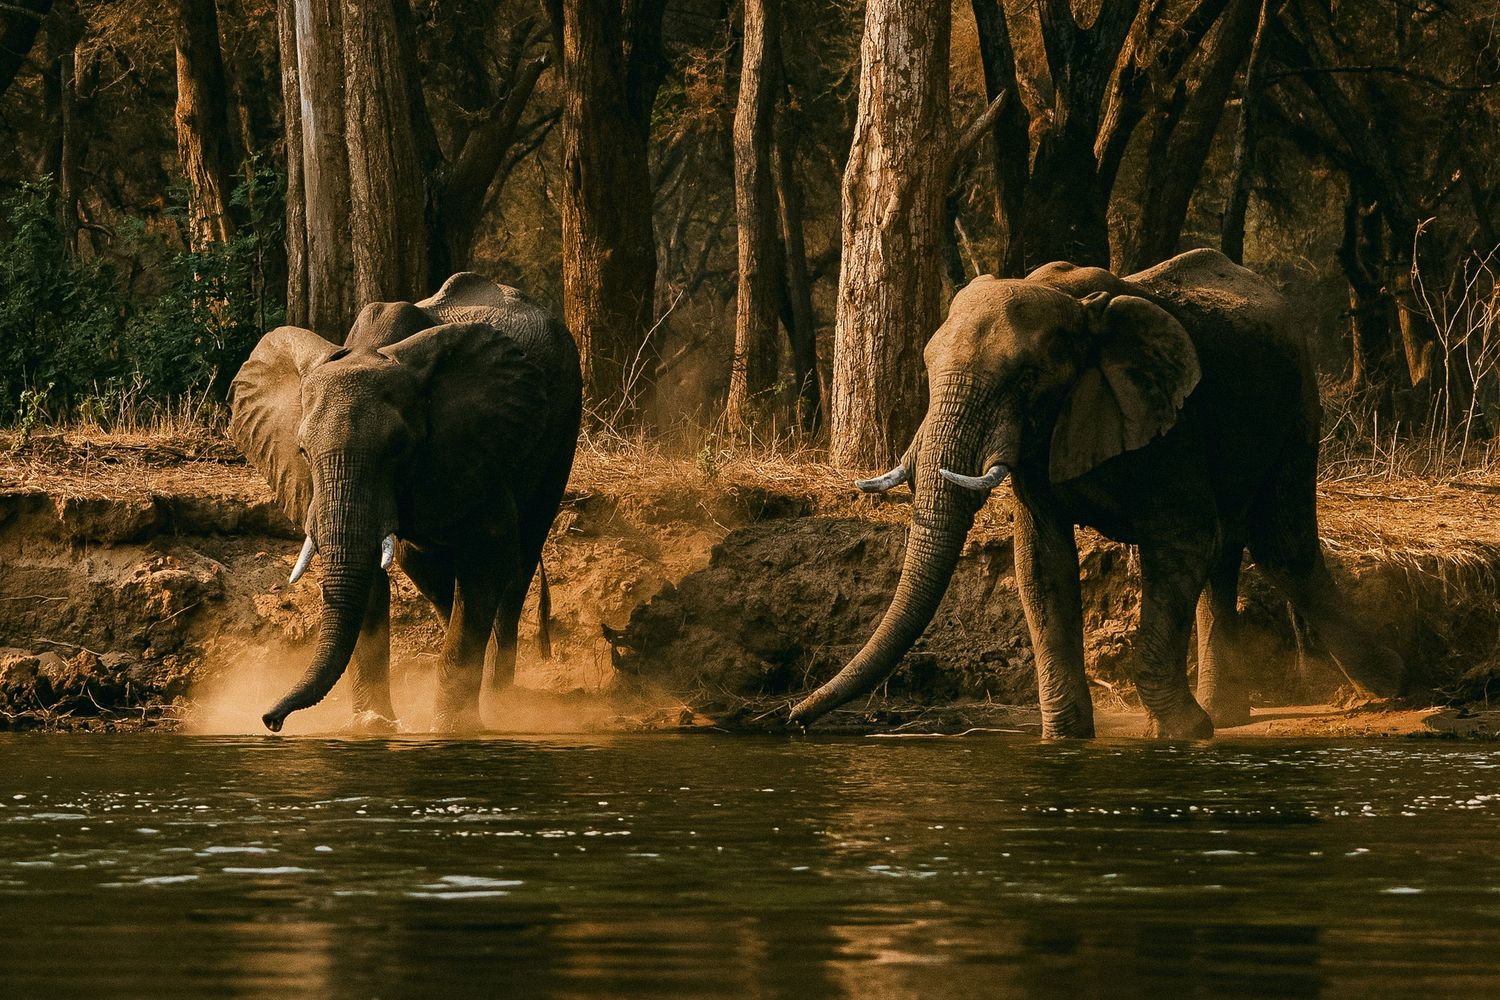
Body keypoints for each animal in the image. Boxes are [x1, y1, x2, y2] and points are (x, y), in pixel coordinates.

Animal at [229, 272, 582, 733]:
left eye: (398, 448)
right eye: (303, 451)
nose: (271, 720)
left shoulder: (476, 443)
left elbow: (487, 557)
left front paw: (453, 730)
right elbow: (369, 579)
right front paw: (371, 728)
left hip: (564, 420)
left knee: (518, 564)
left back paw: (502, 703)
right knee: (426, 567)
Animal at [790, 249, 1405, 738]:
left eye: (1026, 378)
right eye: (926, 365)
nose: (792, 719)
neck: (1075, 305)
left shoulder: (1168, 418)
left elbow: (1181, 541)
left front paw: (1183, 733)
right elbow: (1042, 562)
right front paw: (1066, 738)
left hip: (1296, 403)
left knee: (1281, 547)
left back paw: (1393, 685)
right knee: (1230, 552)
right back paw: (1235, 714)